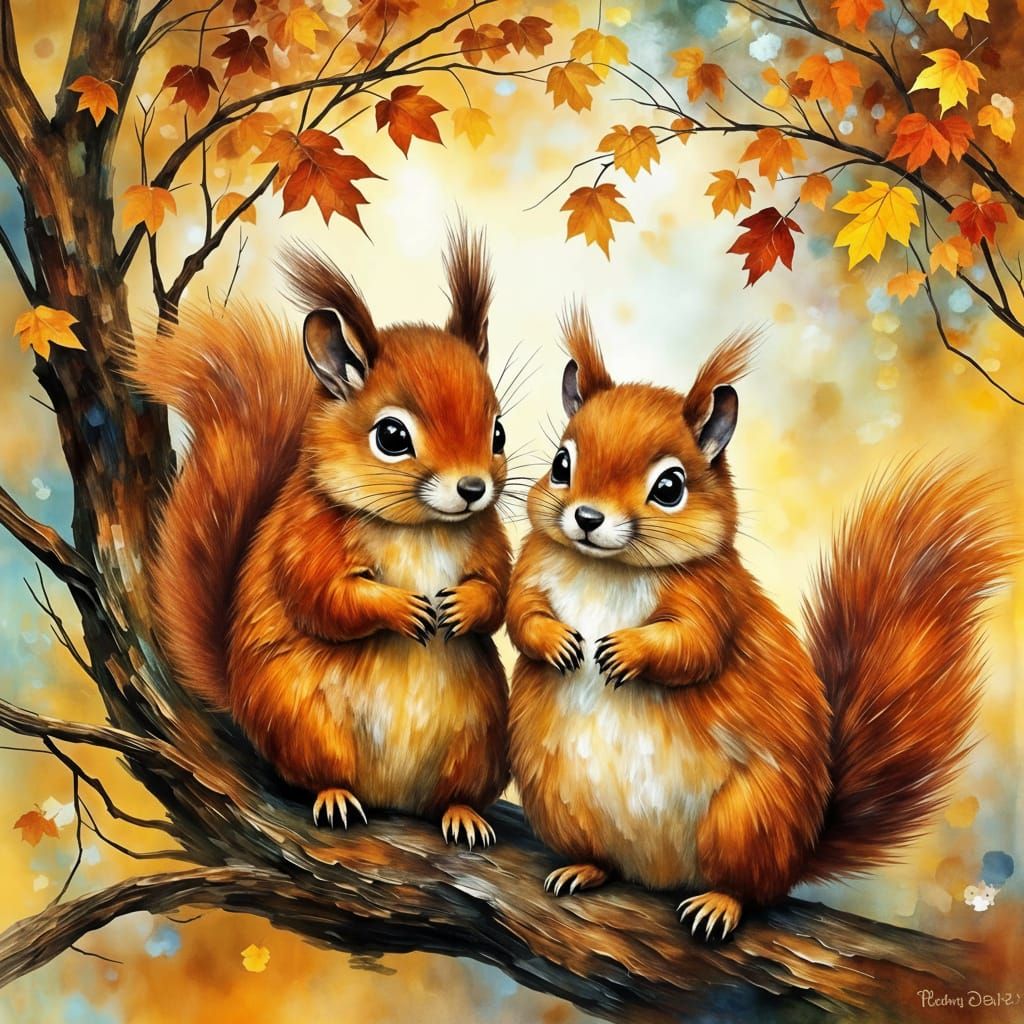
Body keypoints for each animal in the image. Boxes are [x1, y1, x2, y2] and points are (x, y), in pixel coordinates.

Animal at [127, 225, 511, 847]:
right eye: (392, 436)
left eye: (497, 431)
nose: (474, 488)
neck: (421, 527)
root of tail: (393, 799)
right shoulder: (305, 534)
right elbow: (322, 598)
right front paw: (403, 608)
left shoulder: (488, 538)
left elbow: (498, 591)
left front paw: (464, 605)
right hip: (304, 721)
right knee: (318, 775)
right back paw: (335, 799)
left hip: (479, 737)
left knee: (454, 794)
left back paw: (463, 814)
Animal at [507, 307, 1009, 938]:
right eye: (561, 463)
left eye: (669, 487)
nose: (588, 518)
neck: (606, 568)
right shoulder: (531, 567)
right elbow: (520, 615)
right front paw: (555, 642)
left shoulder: (714, 598)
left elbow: (694, 648)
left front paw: (625, 652)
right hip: (560, 799)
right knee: (603, 857)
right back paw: (582, 869)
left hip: (747, 819)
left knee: (751, 887)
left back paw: (719, 904)